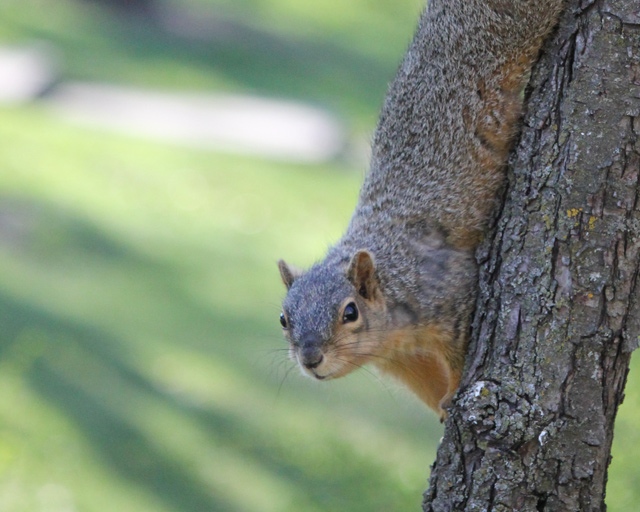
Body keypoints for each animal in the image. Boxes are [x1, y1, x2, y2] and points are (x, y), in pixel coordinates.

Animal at [277, 0, 564, 419]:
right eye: (284, 318)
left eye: (350, 312)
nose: (311, 359)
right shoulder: (405, 361)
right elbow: (428, 384)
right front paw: (441, 411)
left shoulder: (452, 296)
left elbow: (458, 358)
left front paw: (455, 393)